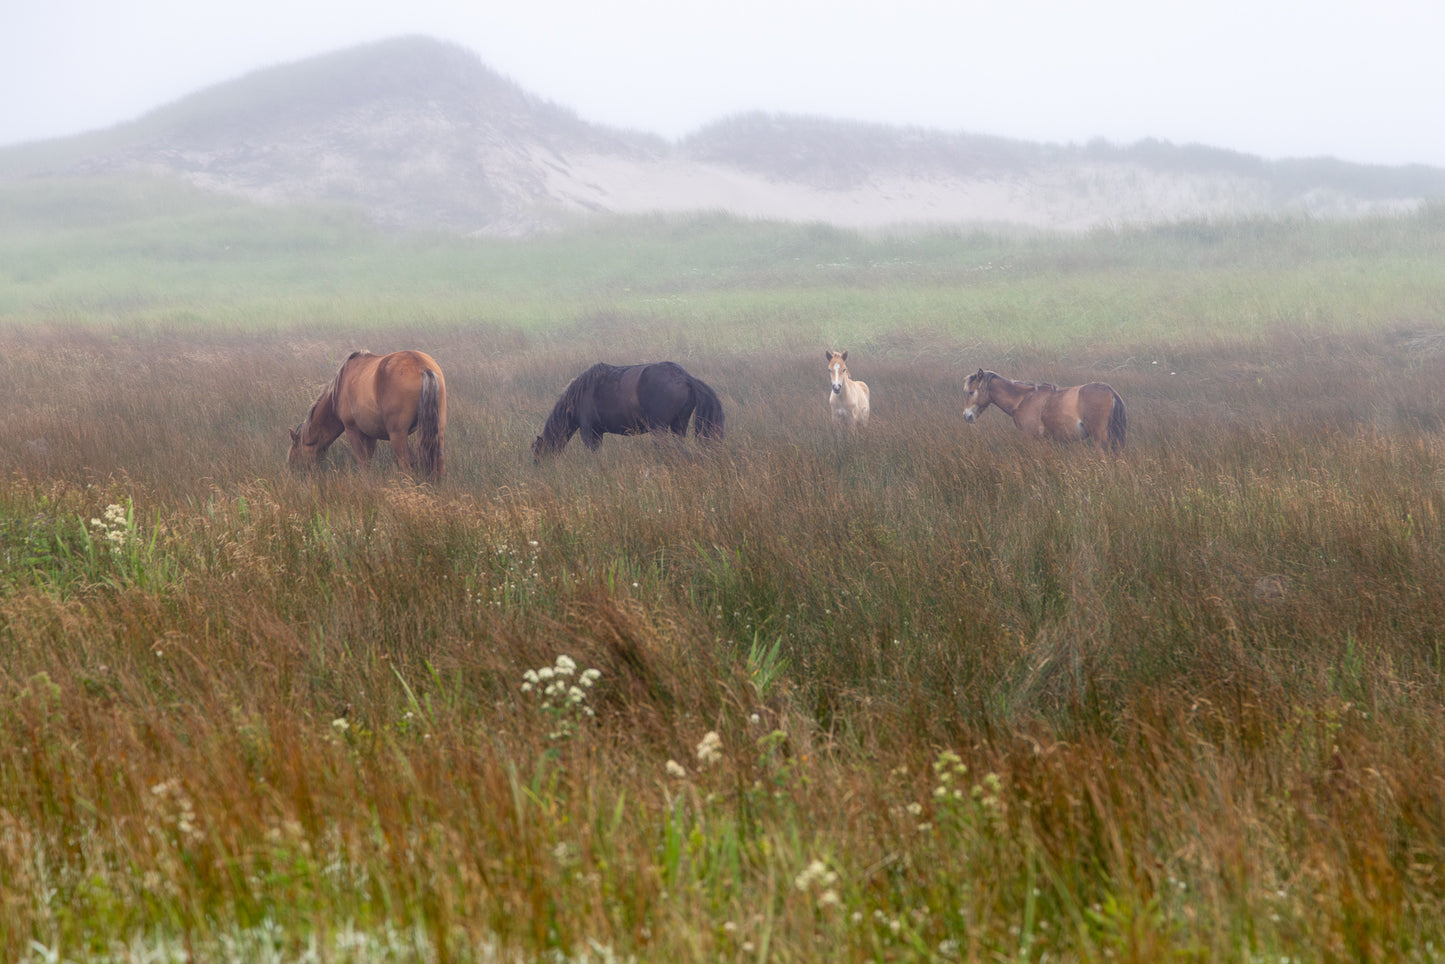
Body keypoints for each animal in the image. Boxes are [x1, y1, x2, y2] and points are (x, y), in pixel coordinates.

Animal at [287, 348, 445, 479]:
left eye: (294, 454)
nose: (294, 474)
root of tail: (422, 367)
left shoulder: (353, 430)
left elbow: (363, 463)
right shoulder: (370, 434)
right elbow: (367, 461)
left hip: (397, 434)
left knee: (406, 461)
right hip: (438, 430)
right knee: (438, 459)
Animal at [534, 365, 722, 462]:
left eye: (537, 453)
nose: (540, 469)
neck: (581, 393)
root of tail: (685, 377)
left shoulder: (588, 431)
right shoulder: (598, 433)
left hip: (660, 428)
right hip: (679, 425)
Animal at [959, 372, 1127, 456]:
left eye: (971, 392)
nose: (966, 416)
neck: (1023, 399)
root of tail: (1111, 392)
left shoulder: (1032, 439)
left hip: (1100, 440)